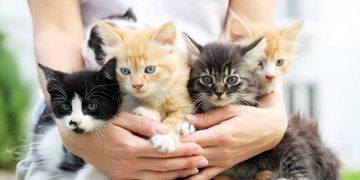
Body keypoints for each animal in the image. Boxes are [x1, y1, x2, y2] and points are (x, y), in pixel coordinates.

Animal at [87, 21, 195, 153]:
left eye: (150, 69)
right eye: (125, 71)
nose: (137, 85)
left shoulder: (186, 105)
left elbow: (175, 119)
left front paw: (165, 137)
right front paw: (148, 112)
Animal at [183, 34, 340, 179]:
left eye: (232, 79)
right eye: (207, 79)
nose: (219, 92)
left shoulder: (292, 140)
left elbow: (301, 166)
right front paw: (188, 127)